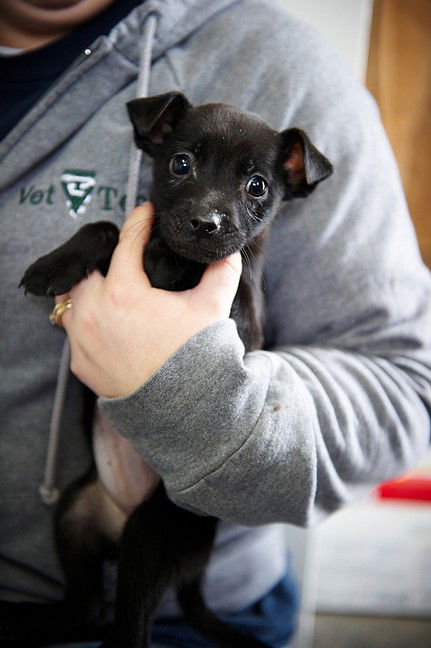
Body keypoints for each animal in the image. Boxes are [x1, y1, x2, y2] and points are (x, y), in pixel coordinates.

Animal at [15, 92, 332, 648]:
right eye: (180, 164)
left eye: (257, 186)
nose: (206, 223)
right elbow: (105, 227)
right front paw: (53, 265)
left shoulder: (237, 311)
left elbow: (186, 265)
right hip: (73, 515)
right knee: (87, 606)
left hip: (151, 537)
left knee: (126, 627)